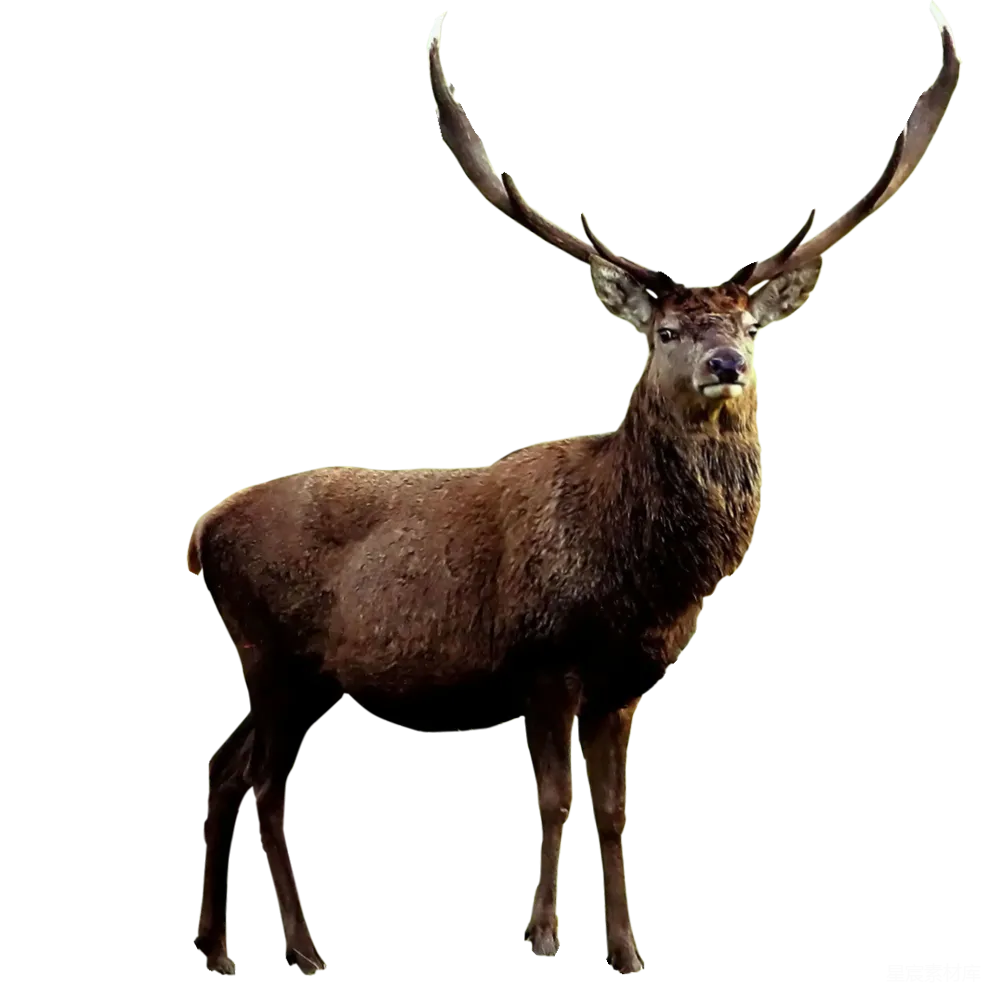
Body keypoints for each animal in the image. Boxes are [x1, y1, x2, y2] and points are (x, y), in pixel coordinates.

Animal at [189, 7, 960, 977]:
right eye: (665, 331)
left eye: (750, 324)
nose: (725, 363)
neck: (642, 582)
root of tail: (201, 530)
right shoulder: (540, 660)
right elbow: (554, 799)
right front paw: (543, 937)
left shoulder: (624, 683)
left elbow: (617, 812)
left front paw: (627, 950)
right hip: (271, 652)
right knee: (263, 785)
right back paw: (303, 948)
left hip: (297, 673)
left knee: (222, 766)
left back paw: (219, 949)